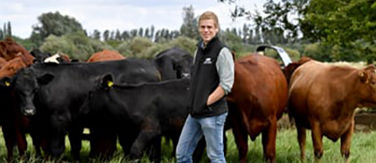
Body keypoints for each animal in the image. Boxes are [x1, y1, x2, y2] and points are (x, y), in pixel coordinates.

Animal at [11, 58, 162, 159]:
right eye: (17, 90)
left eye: (35, 89)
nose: (28, 111)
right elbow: (71, 146)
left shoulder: (59, 120)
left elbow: (56, 148)